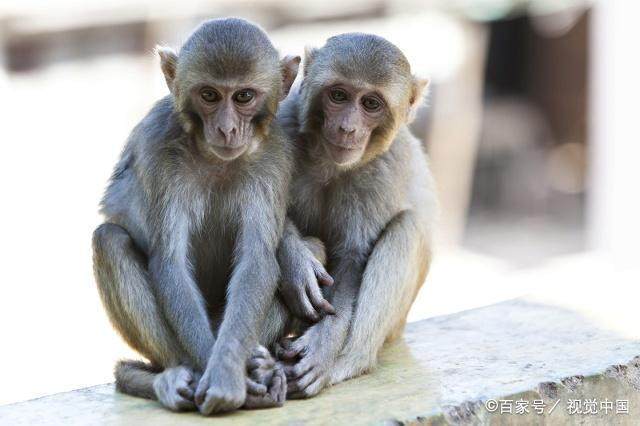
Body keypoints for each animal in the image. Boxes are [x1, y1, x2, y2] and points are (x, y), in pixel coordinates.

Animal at [90, 18, 308, 414]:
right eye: (209, 95)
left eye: (243, 97)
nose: (226, 128)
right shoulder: (159, 150)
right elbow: (170, 261)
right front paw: (220, 374)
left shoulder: (275, 156)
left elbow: (256, 261)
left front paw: (228, 373)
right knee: (109, 240)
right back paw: (176, 376)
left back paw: (259, 363)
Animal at [272, 34, 438, 400]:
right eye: (338, 95)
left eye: (371, 104)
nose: (347, 128)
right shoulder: (284, 125)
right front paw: (296, 261)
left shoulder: (382, 168)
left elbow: (353, 258)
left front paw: (323, 345)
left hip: (396, 327)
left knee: (405, 229)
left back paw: (350, 361)